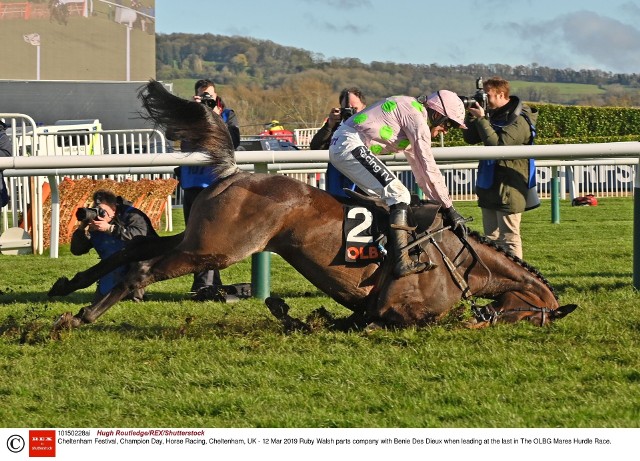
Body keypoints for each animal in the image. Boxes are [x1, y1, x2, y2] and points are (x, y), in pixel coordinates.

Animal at [48, 81, 576, 328]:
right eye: (533, 315)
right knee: (142, 268)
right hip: (219, 248)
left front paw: (287, 310)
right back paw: (83, 314)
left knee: (133, 248)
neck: (458, 261)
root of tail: (233, 172)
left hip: (200, 233)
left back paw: (70, 287)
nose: (486, 320)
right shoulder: (401, 314)